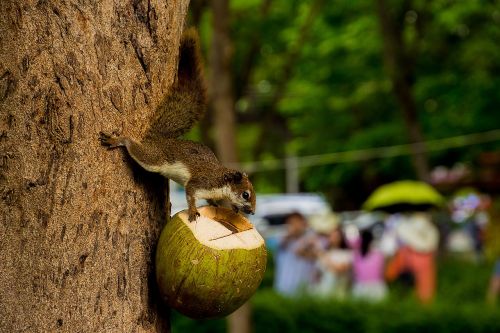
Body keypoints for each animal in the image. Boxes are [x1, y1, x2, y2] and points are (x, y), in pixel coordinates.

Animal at [98, 27, 256, 220]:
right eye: (245, 194)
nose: (252, 211)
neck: (220, 181)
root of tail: (160, 140)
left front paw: (216, 204)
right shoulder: (202, 182)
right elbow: (190, 192)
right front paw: (193, 210)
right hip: (156, 157)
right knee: (138, 150)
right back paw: (119, 140)